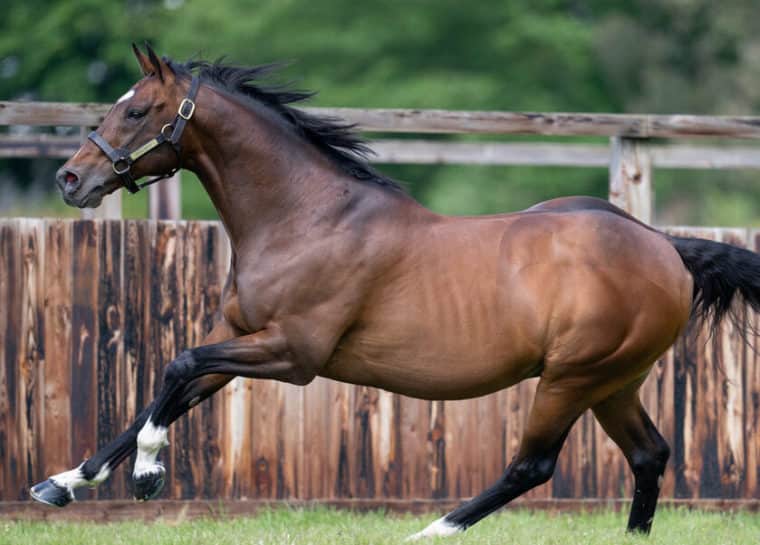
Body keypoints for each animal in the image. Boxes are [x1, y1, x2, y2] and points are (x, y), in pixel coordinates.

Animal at [29, 45, 760, 536]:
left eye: (137, 109)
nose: (69, 178)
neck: (305, 217)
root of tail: (664, 247)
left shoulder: (293, 354)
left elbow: (176, 368)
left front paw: (148, 475)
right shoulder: (241, 339)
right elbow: (161, 393)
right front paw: (61, 483)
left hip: (572, 376)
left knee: (532, 466)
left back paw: (428, 531)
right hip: (614, 381)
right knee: (648, 455)